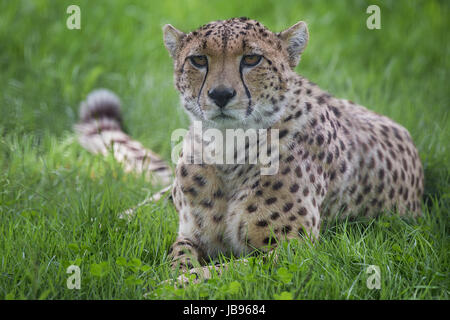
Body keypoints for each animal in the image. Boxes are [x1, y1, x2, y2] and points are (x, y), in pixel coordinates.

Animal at [75, 17, 424, 282]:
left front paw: (172, 286)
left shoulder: (293, 251)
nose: (220, 94)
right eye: (198, 60)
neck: (227, 147)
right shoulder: (190, 233)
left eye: (252, 59)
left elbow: (225, 271)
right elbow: (179, 254)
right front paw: (172, 274)